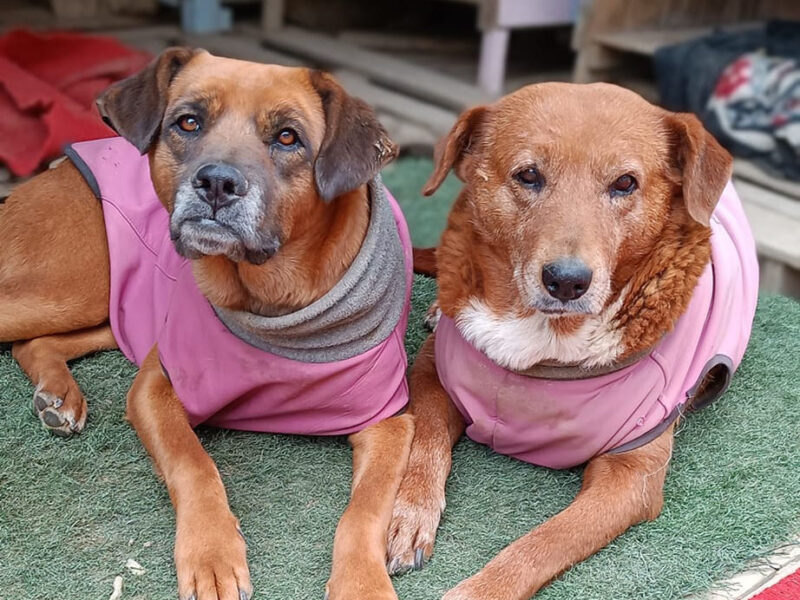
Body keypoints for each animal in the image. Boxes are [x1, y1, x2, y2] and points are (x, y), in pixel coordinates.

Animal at [1, 48, 418, 600]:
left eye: (288, 137)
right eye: (188, 122)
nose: (217, 182)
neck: (273, 302)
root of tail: (60, 166)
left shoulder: (389, 421)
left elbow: (365, 509)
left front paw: (362, 583)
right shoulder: (156, 387)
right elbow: (194, 464)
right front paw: (212, 553)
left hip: (105, 303)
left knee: (37, 341)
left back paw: (57, 394)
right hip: (68, 285)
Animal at [384, 83, 760, 600]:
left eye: (625, 183)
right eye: (528, 175)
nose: (566, 281)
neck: (543, 339)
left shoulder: (630, 476)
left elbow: (543, 542)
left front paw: (478, 591)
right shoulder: (429, 372)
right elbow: (426, 443)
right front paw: (410, 514)